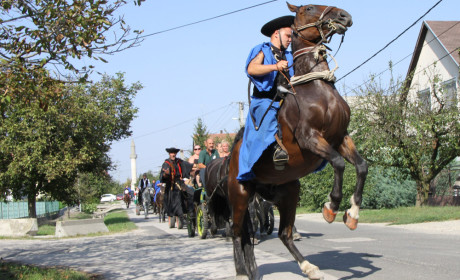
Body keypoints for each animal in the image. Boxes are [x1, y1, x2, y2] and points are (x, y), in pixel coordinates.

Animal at [228, 2, 368, 280]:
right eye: (308, 8)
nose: (344, 16)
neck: (316, 89)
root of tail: (228, 159)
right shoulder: (311, 138)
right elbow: (338, 163)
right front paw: (331, 207)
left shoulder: (341, 137)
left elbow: (360, 166)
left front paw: (352, 214)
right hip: (240, 194)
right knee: (238, 234)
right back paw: (241, 273)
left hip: (288, 192)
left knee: (284, 234)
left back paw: (308, 267)